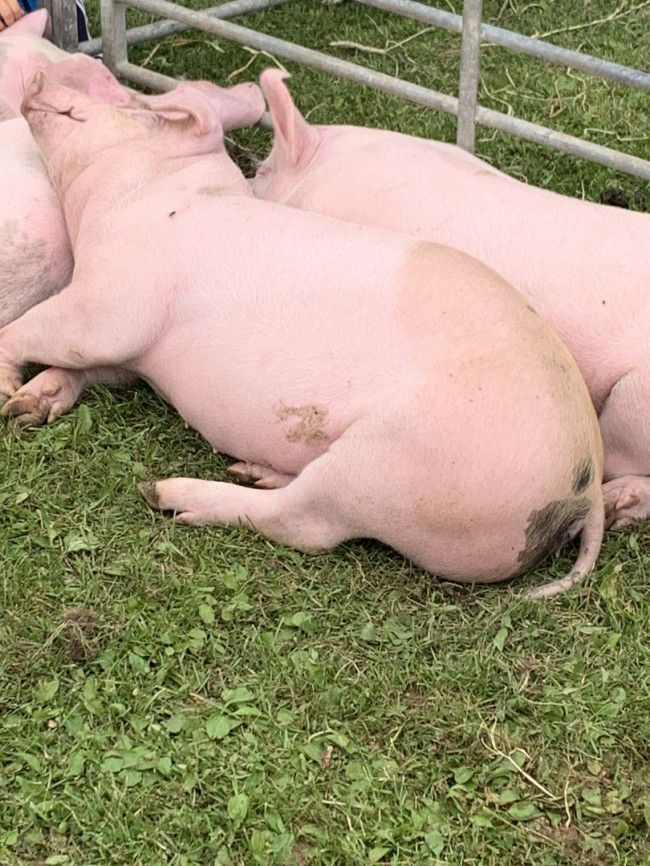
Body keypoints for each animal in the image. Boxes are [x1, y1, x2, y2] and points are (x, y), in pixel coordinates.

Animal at [0, 59, 604, 598]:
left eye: (139, 109)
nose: (39, 79)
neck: (153, 196)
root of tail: (587, 483)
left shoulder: (111, 301)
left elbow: (44, 329)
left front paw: (7, 395)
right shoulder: (135, 354)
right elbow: (87, 365)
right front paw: (31, 405)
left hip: (397, 465)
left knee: (303, 523)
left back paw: (167, 492)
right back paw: (253, 470)